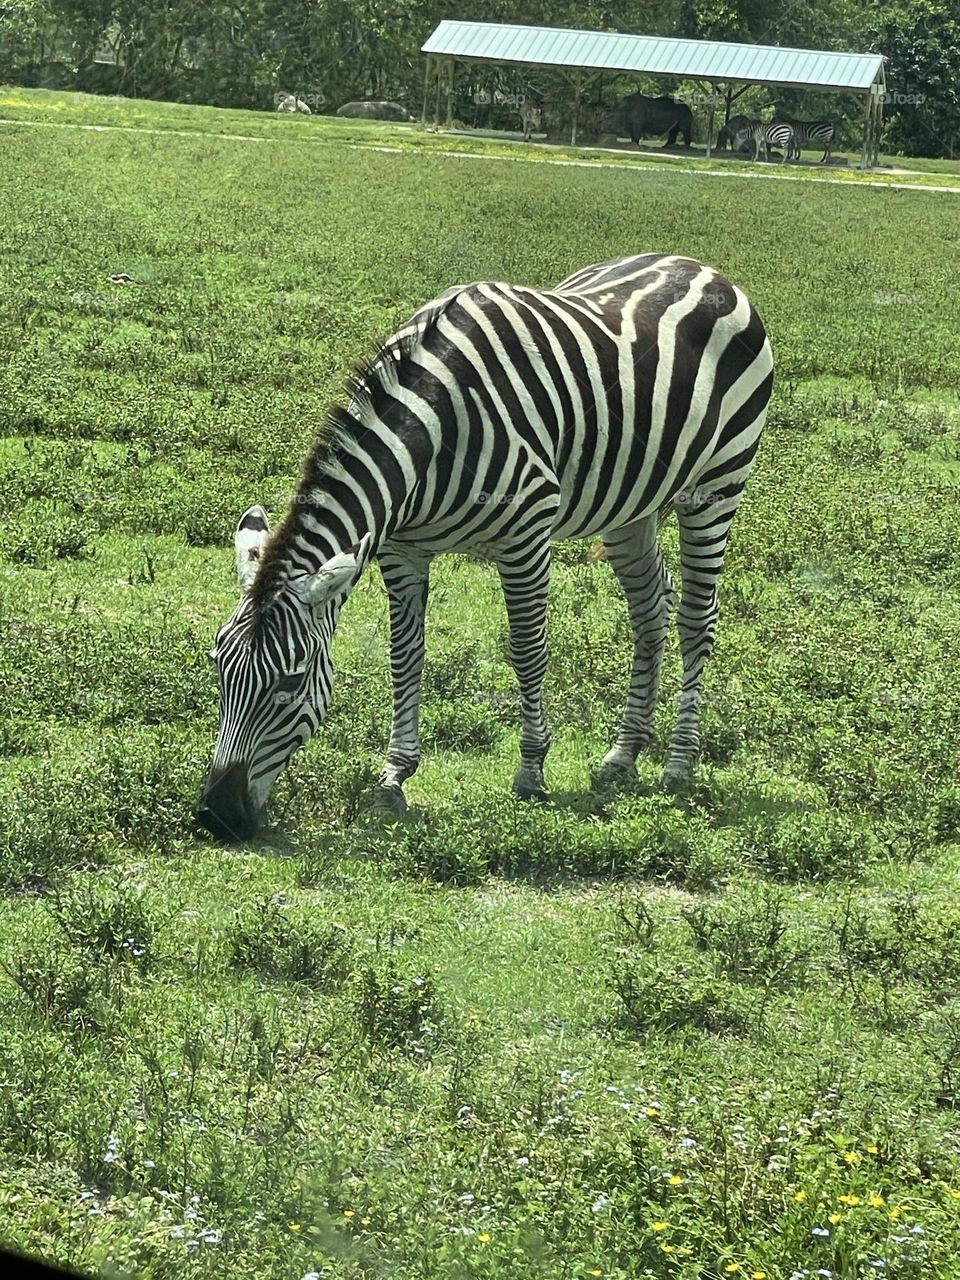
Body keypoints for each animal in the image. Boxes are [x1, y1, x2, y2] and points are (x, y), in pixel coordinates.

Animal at [198, 254, 774, 842]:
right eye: (218, 668)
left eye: (291, 683)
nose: (217, 817)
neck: (434, 434)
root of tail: (698, 266)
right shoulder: (401, 550)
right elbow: (405, 655)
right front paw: (392, 780)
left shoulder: (526, 536)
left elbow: (527, 650)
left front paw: (531, 771)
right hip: (630, 504)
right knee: (649, 611)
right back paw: (622, 755)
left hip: (717, 483)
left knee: (695, 618)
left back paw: (679, 764)